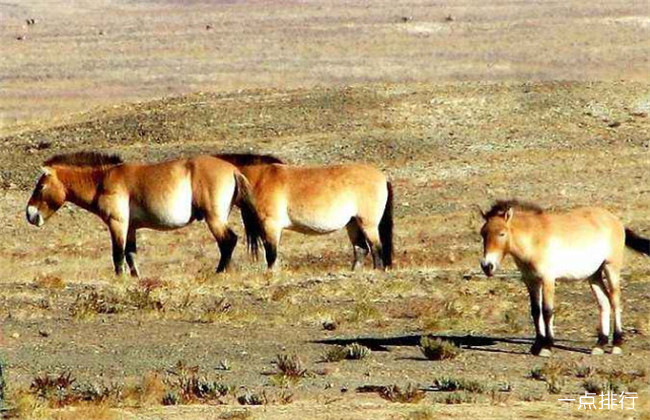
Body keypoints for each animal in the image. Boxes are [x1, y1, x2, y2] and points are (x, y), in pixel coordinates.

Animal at [25, 153, 264, 278]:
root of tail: (233, 170)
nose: (30, 214)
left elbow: (118, 254)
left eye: (41, 186)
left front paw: (119, 278)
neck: (102, 180)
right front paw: (135, 277)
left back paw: (220, 271)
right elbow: (131, 254)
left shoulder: (117, 224)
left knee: (228, 241)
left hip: (214, 219)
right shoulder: (130, 228)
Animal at [218, 153, 392, 270]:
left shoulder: (271, 226)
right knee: (361, 249)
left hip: (368, 224)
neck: (260, 178)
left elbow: (271, 254)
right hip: (353, 223)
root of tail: (383, 178)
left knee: (376, 248)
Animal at [476, 199, 648, 354]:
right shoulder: (531, 281)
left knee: (615, 301)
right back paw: (600, 344)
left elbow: (547, 310)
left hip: (611, 268)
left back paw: (617, 344)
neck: (535, 238)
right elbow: (535, 311)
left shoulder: (548, 279)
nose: (487, 266)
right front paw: (537, 346)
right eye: (483, 233)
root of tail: (615, 221)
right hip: (594, 275)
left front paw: (546, 347)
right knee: (604, 302)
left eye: (501, 233)